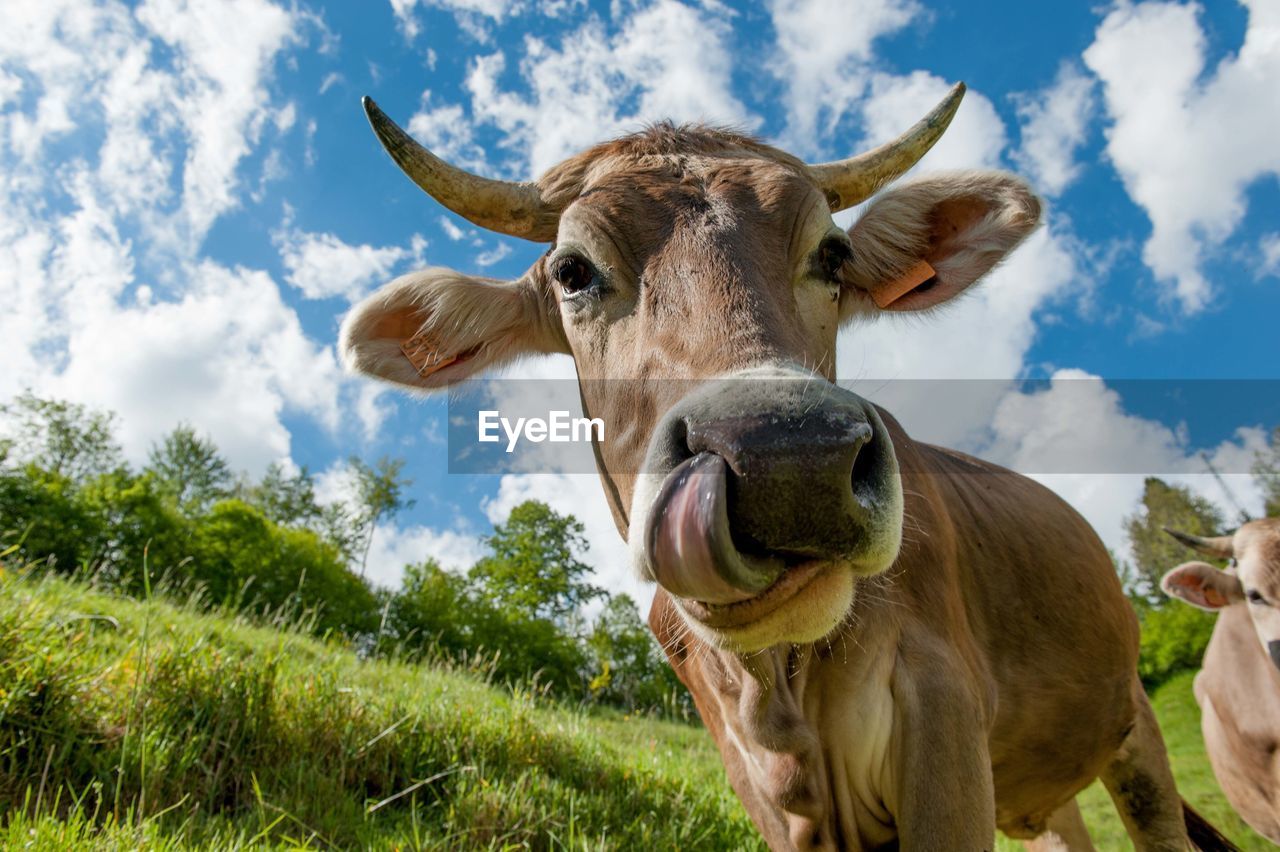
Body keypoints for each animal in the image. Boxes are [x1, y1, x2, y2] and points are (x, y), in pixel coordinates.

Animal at [340, 87, 1228, 849]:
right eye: (572, 271)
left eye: (833, 256)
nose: (789, 461)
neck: (775, 693)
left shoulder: (943, 720)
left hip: (1134, 730)